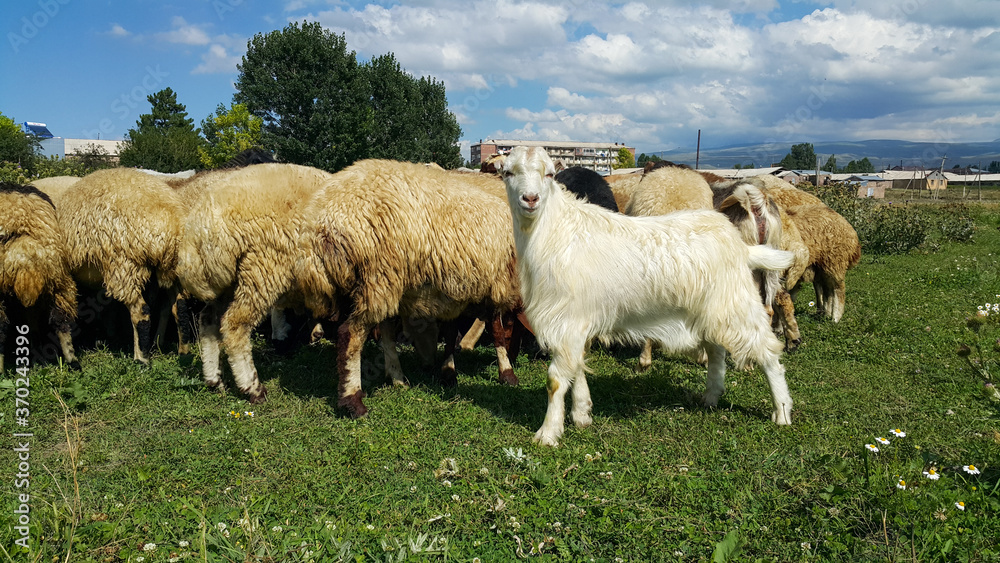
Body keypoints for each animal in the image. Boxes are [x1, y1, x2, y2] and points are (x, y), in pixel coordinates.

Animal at [53, 168, 184, 364]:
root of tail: (172, 222)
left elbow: (61, 316)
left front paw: (70, 357)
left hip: (124, 266)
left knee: (141, 311)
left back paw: (141, 359)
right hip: (171, 270)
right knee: (179, 306)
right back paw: (183, 352)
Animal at [295, 159, 522, 417]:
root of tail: (323, 221)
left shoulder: (456, 287)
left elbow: (451, 331)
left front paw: (448, 372)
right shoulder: (498, 282)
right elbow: (497, 331)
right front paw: (507, 373)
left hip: (375, 284)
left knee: (383, 331)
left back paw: (397, 377)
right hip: (378, 276)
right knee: (350, 334)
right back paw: (353, 400)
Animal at [497, 146, 794, 446]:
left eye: (549, 174)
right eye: (508, 172)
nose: (530, 199)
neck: (554, 233)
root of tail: (740, 246)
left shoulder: (566, 317)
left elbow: (556, 379)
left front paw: (547, 433)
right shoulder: (577, 320)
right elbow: (577, 366)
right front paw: (582, 414)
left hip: (737, 303)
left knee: (768, 351)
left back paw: (781, 411)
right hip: (712, 307)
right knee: (716, 349)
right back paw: (711, 396)